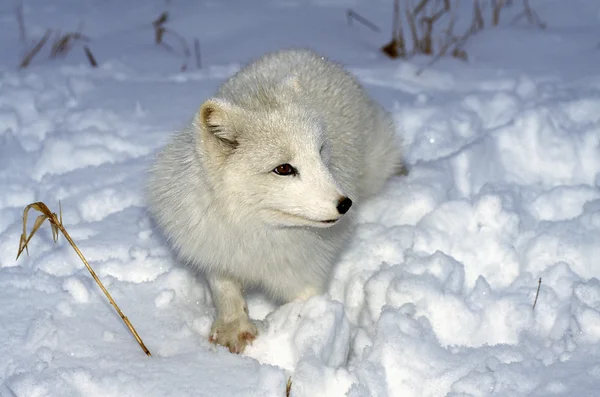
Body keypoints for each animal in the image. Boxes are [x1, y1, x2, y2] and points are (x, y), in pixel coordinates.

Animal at [147, 49, 400, 352]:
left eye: (320, 152)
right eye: (283, 169)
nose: (345, 204)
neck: (256, 230)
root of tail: (303, 52)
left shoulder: (306, 275)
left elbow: (304, 306)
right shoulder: (214, 246)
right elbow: (224, 290)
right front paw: (233, 328)